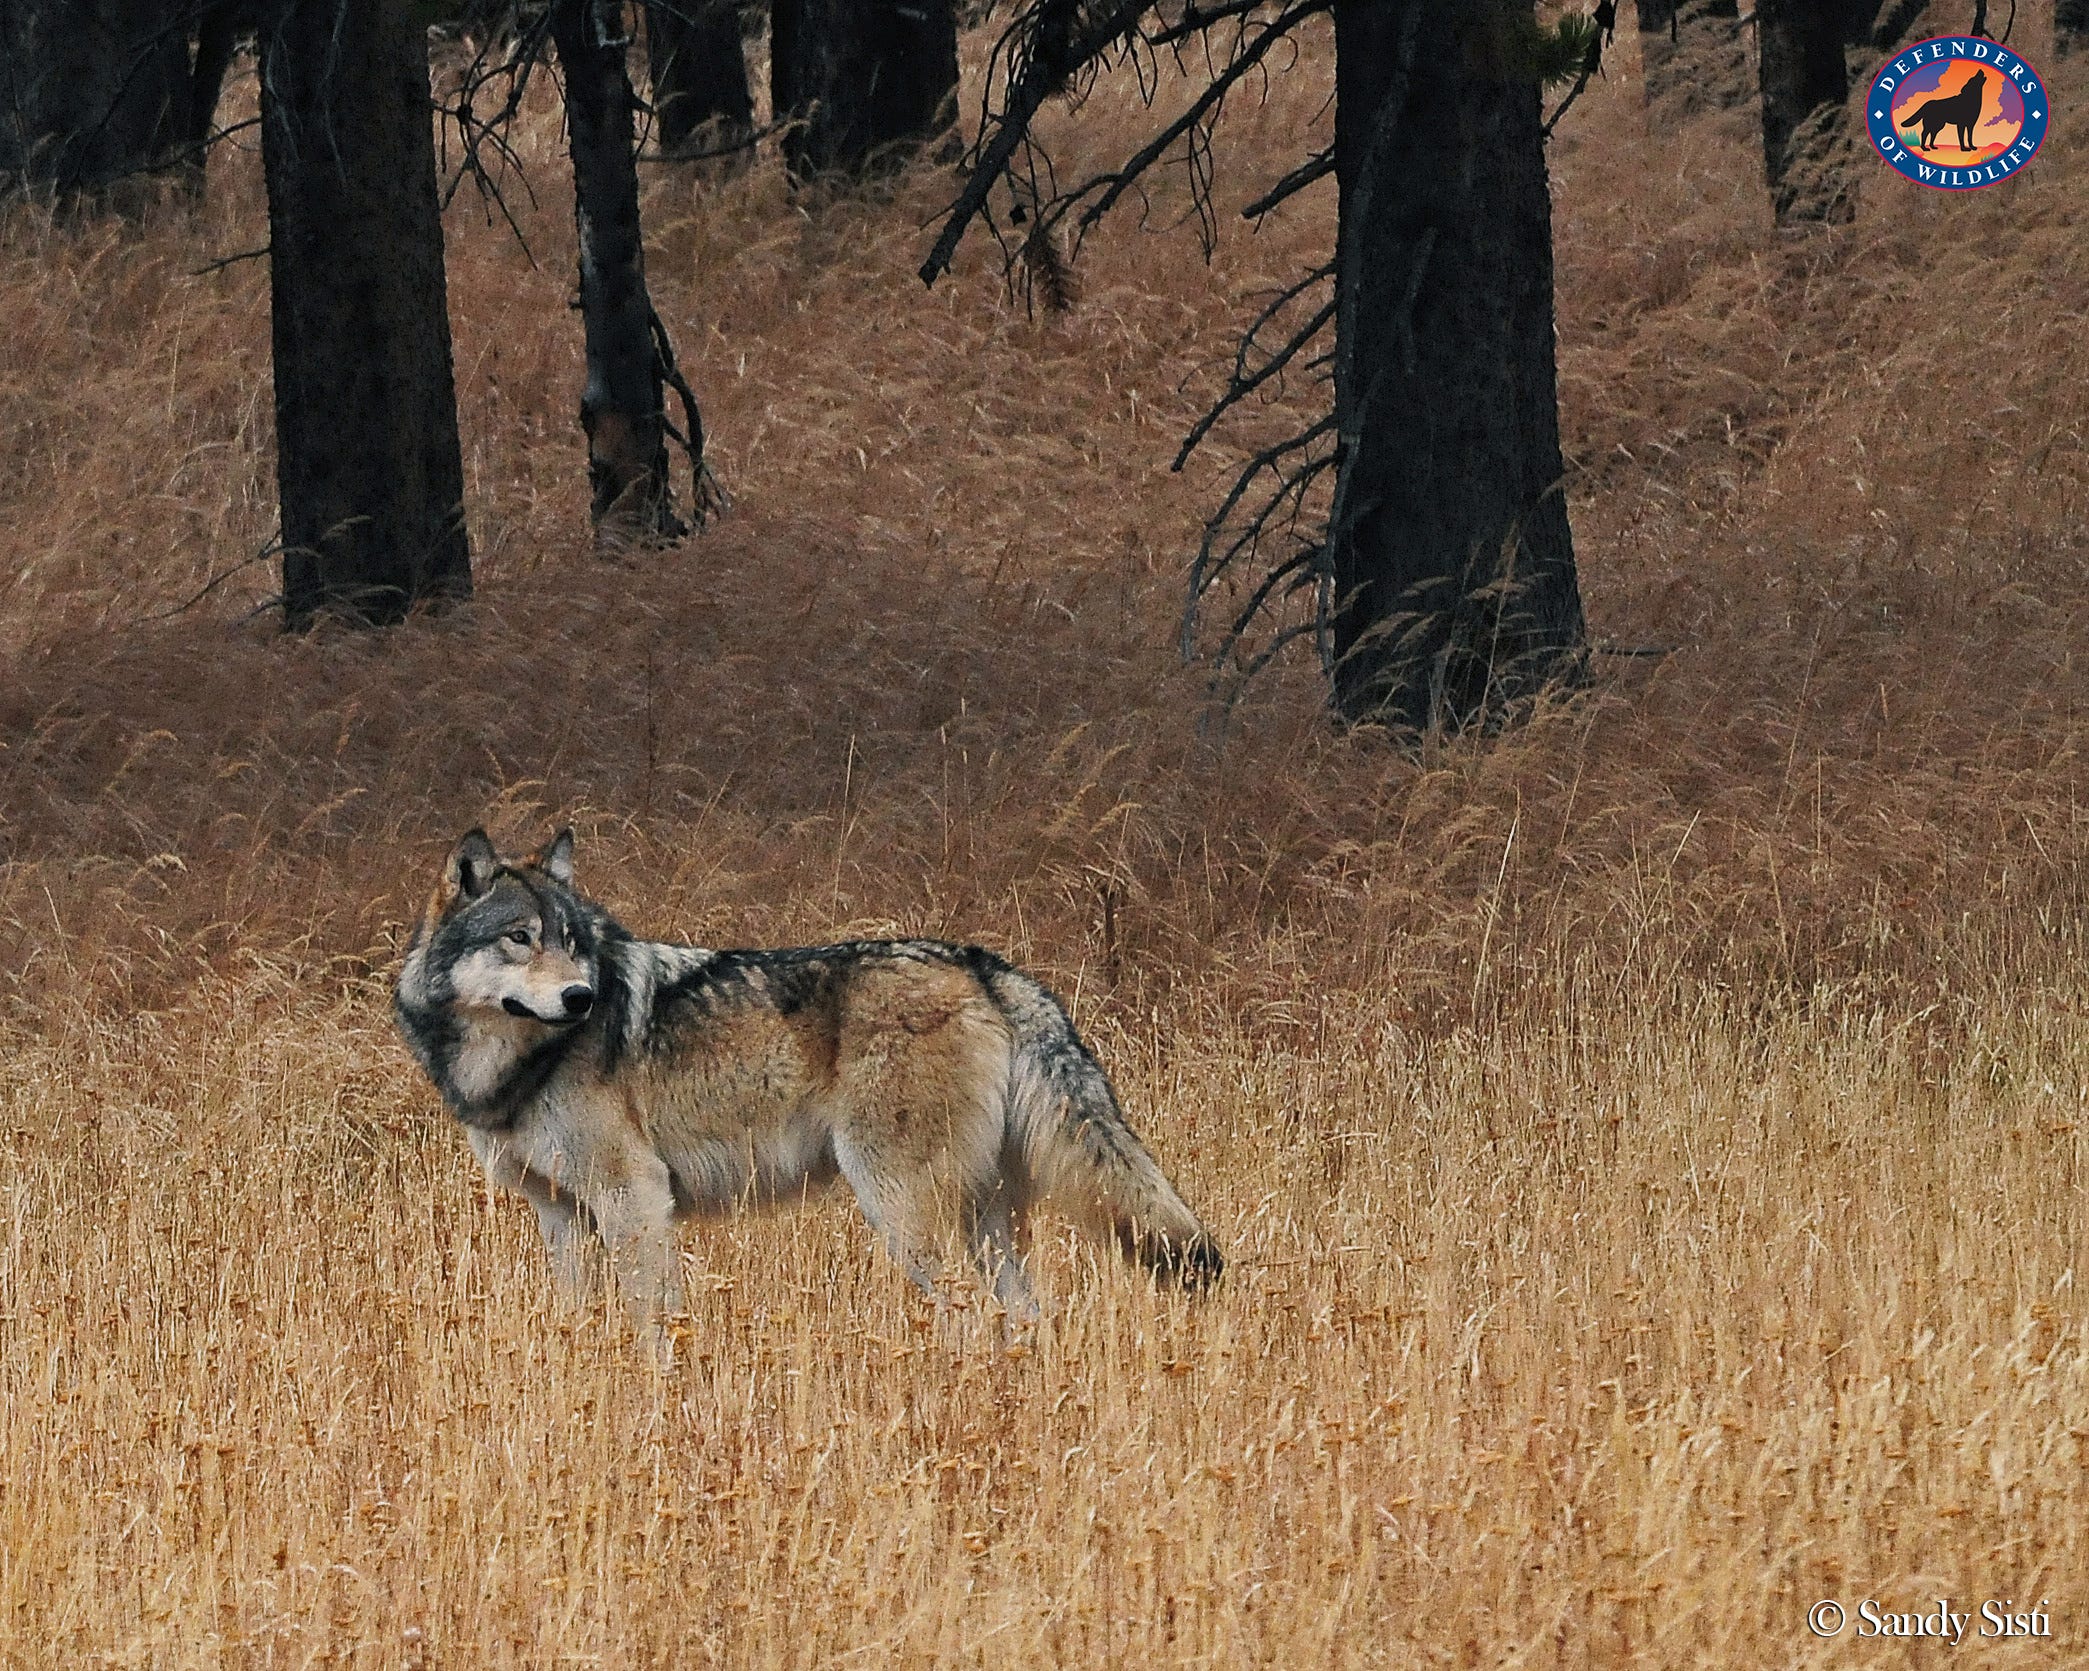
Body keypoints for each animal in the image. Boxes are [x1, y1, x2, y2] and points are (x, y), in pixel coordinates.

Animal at [394, 828, 1221, 1343]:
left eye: (572, 941)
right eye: (520, 937)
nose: (581, 997)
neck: (516, 1066)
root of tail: (984, 965)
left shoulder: (636, 1197)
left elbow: (653, 1322)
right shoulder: (561, 1215)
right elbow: (583, 1318)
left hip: (903, 1210)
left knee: (968, 1317)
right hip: (983, 1221)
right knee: (1023, 1316)